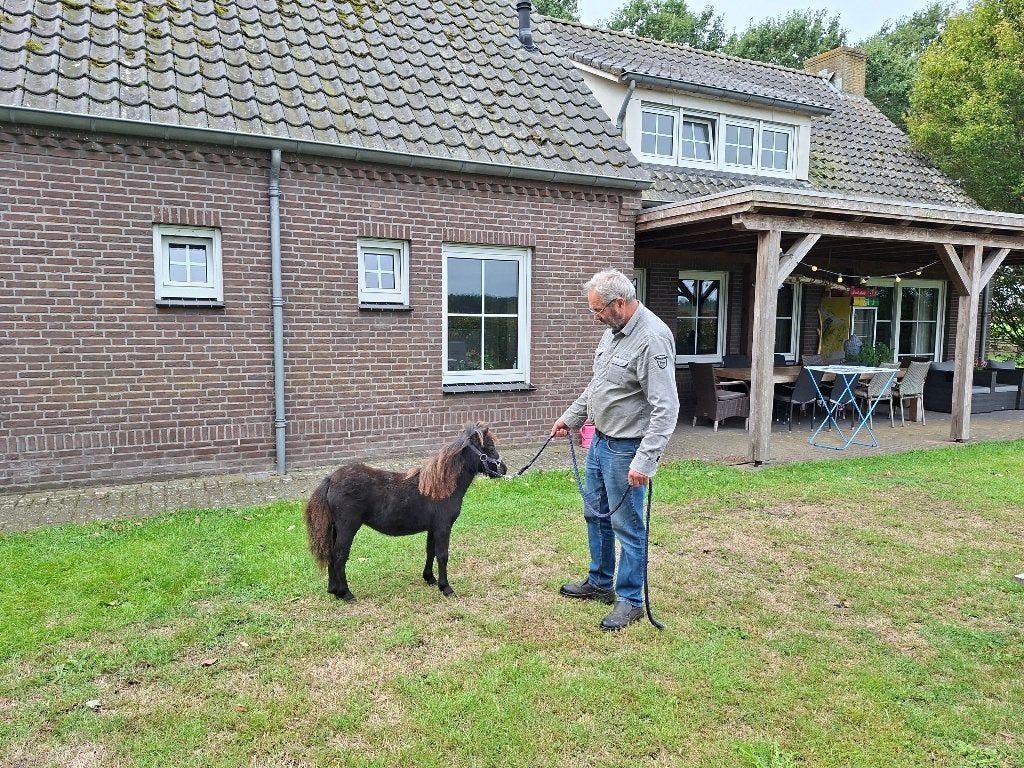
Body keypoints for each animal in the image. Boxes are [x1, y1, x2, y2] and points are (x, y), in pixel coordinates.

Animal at [304, 422, 507, 601]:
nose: (504, 469)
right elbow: (442, 555)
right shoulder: (443, 527)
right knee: (339, 557)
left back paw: (333, 590)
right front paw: (446, 588)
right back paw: (346, 594)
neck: (440, 486)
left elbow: (430, 551)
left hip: (336, 529)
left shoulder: (433, 528)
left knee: (331, 555)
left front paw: (430, 578)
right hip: (348, 528)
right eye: (489, 447)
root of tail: (330, 479)